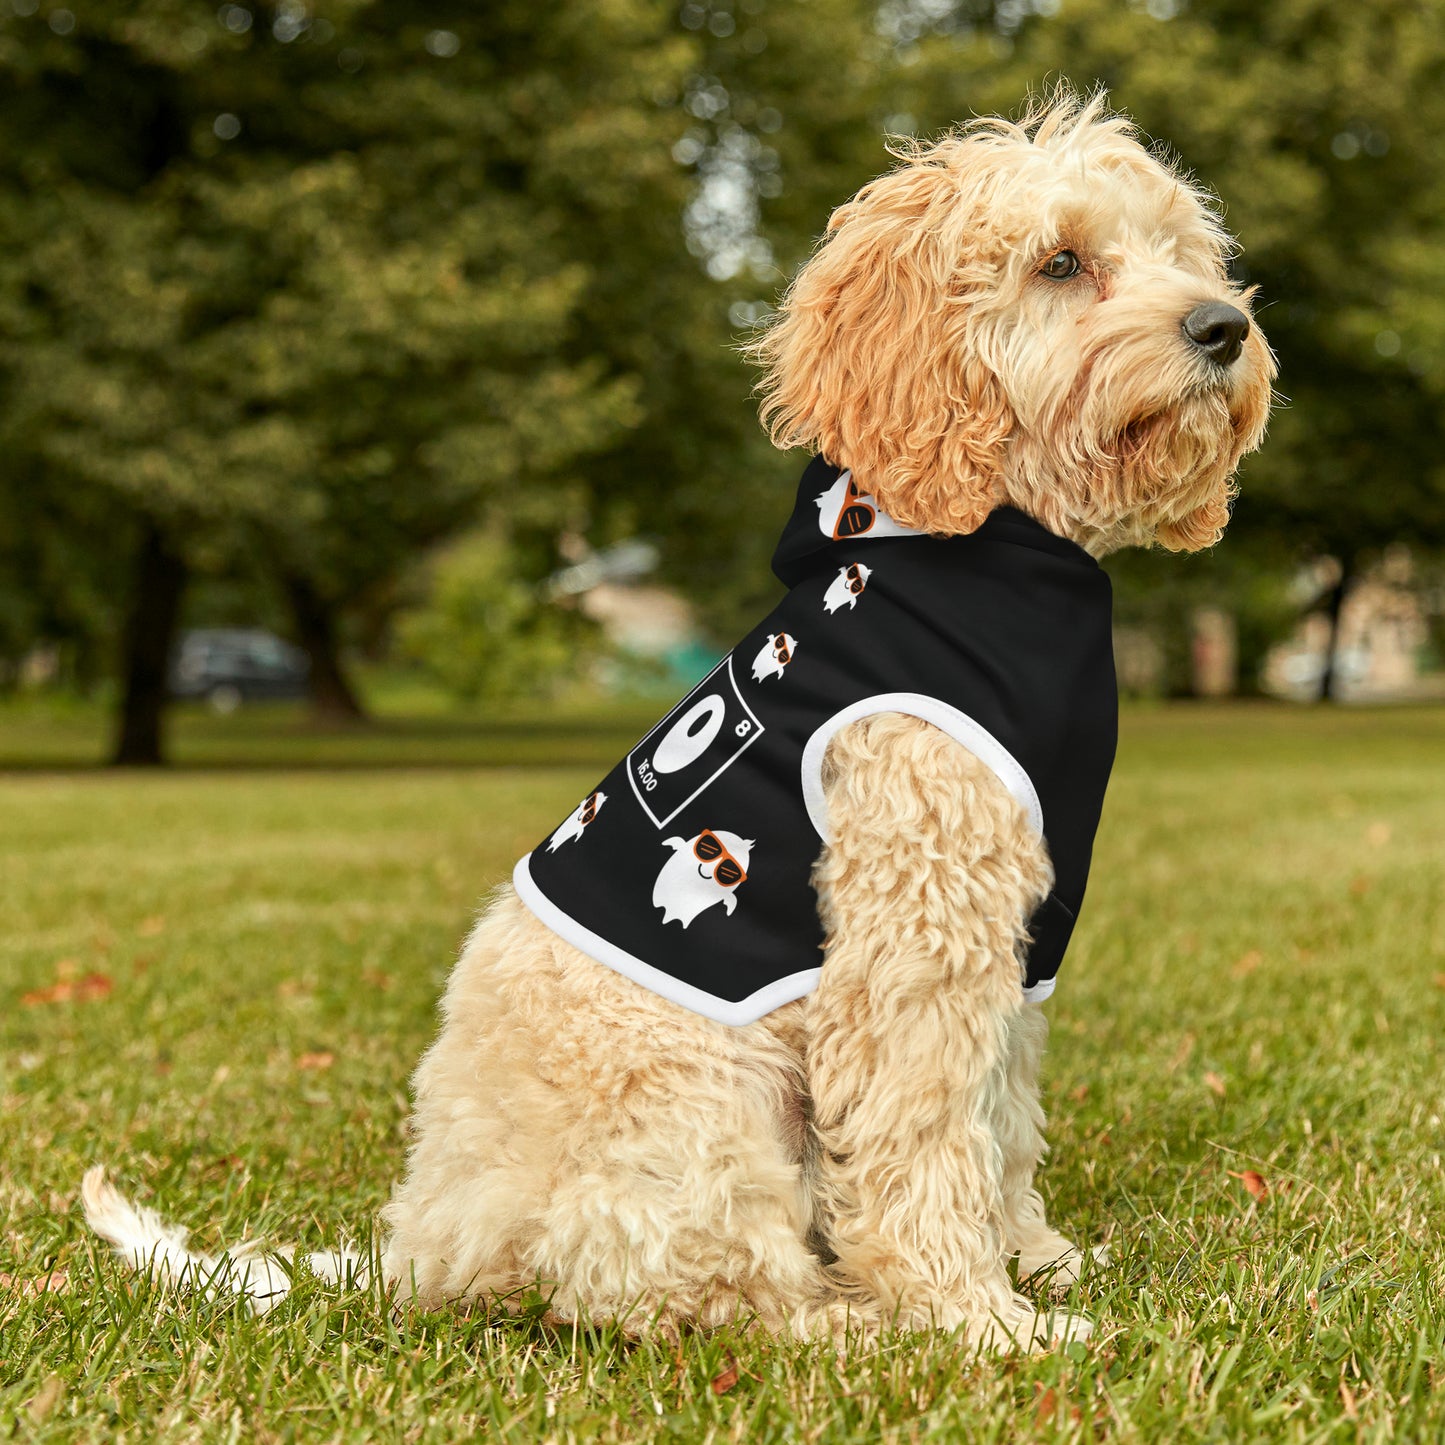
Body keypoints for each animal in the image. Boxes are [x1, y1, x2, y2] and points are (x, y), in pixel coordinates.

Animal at [84, 93, 1271, 1352]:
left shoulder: (1014, 934)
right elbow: (924, 1132)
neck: (979, 546)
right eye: (1059, 262)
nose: (1222, 327)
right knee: (700, 1291)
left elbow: (998, 1116)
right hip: (705, 1102)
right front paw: (975, 1318)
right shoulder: (913, 930)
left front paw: (1033, 1259)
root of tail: (425, 1246)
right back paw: (852, 1323)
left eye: (1180, 252)